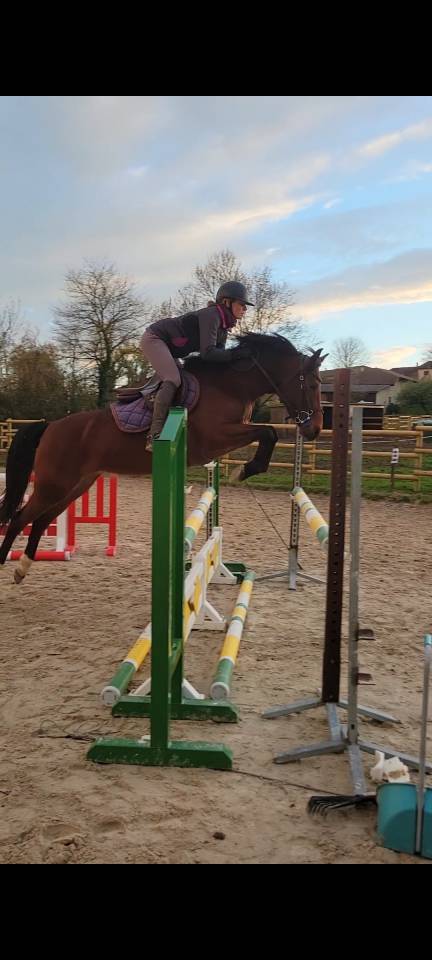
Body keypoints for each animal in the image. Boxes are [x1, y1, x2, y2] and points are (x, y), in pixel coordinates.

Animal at [0, 333, 325, 583]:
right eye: (311, 385)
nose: (314, 429)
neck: (229, 386)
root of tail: (50, 426)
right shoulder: (216, 437)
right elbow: (269, 432)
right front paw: (245, 471)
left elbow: (266, 433)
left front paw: (244, 470)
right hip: (53, 484)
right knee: (20, 518)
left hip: (77, 485)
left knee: (41, 520)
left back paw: (22, 568)